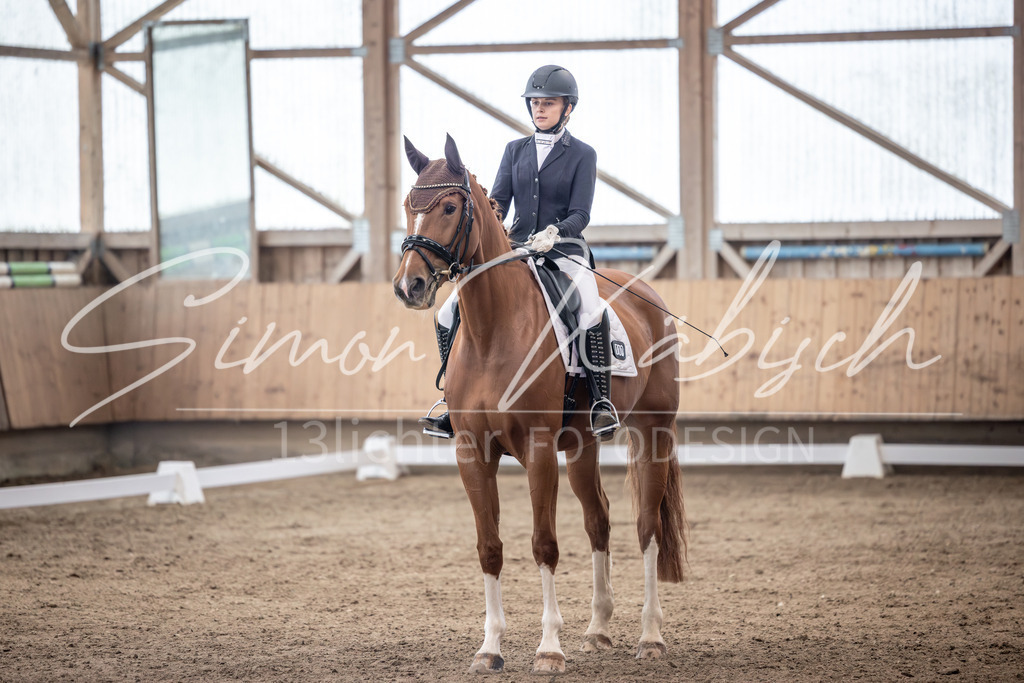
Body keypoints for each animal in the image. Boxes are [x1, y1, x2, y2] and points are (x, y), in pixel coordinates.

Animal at [393, 134, 686, 675]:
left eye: (449, 206)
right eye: (408, 205)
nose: (410, 286)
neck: (492, 329)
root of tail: (646, 292)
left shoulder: (539, 449)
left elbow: (544, 544)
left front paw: (549, 648)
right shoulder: (472, 451)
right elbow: (490, 548)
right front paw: (489, 649)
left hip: (653, 433)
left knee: (647, 527)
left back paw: (650, 637)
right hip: (583, 444)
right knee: (599, 520)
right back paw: (597, 630)